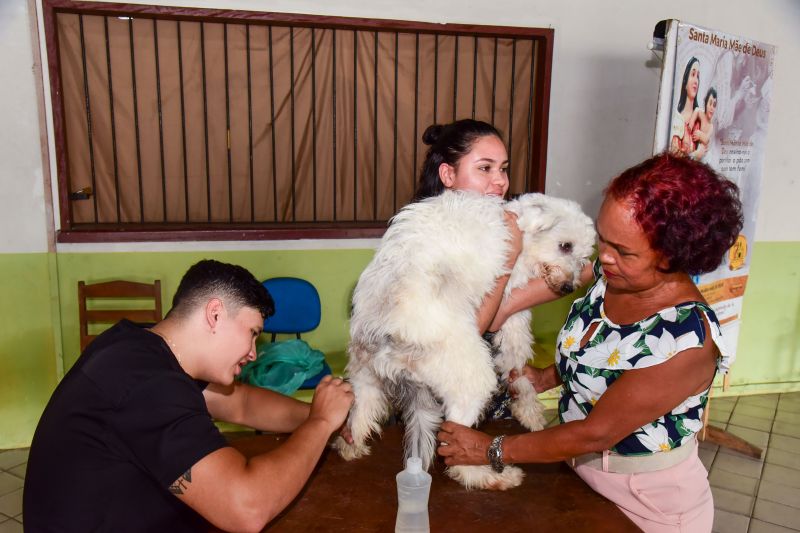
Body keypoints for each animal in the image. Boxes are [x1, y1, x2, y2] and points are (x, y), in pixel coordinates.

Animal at [336, 189, 592, 488]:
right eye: (565, 245)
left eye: (584, 255)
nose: (569, 287)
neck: (518, 225)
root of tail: (386, 342)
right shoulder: (511, 299)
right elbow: (517, 353)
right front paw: (529, 408)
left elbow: (515, 362)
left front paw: (527, 407)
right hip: (471, 381)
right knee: (454, 449)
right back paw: (488, 475)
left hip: (364, 380)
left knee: (358, 418)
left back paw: (351, 447)